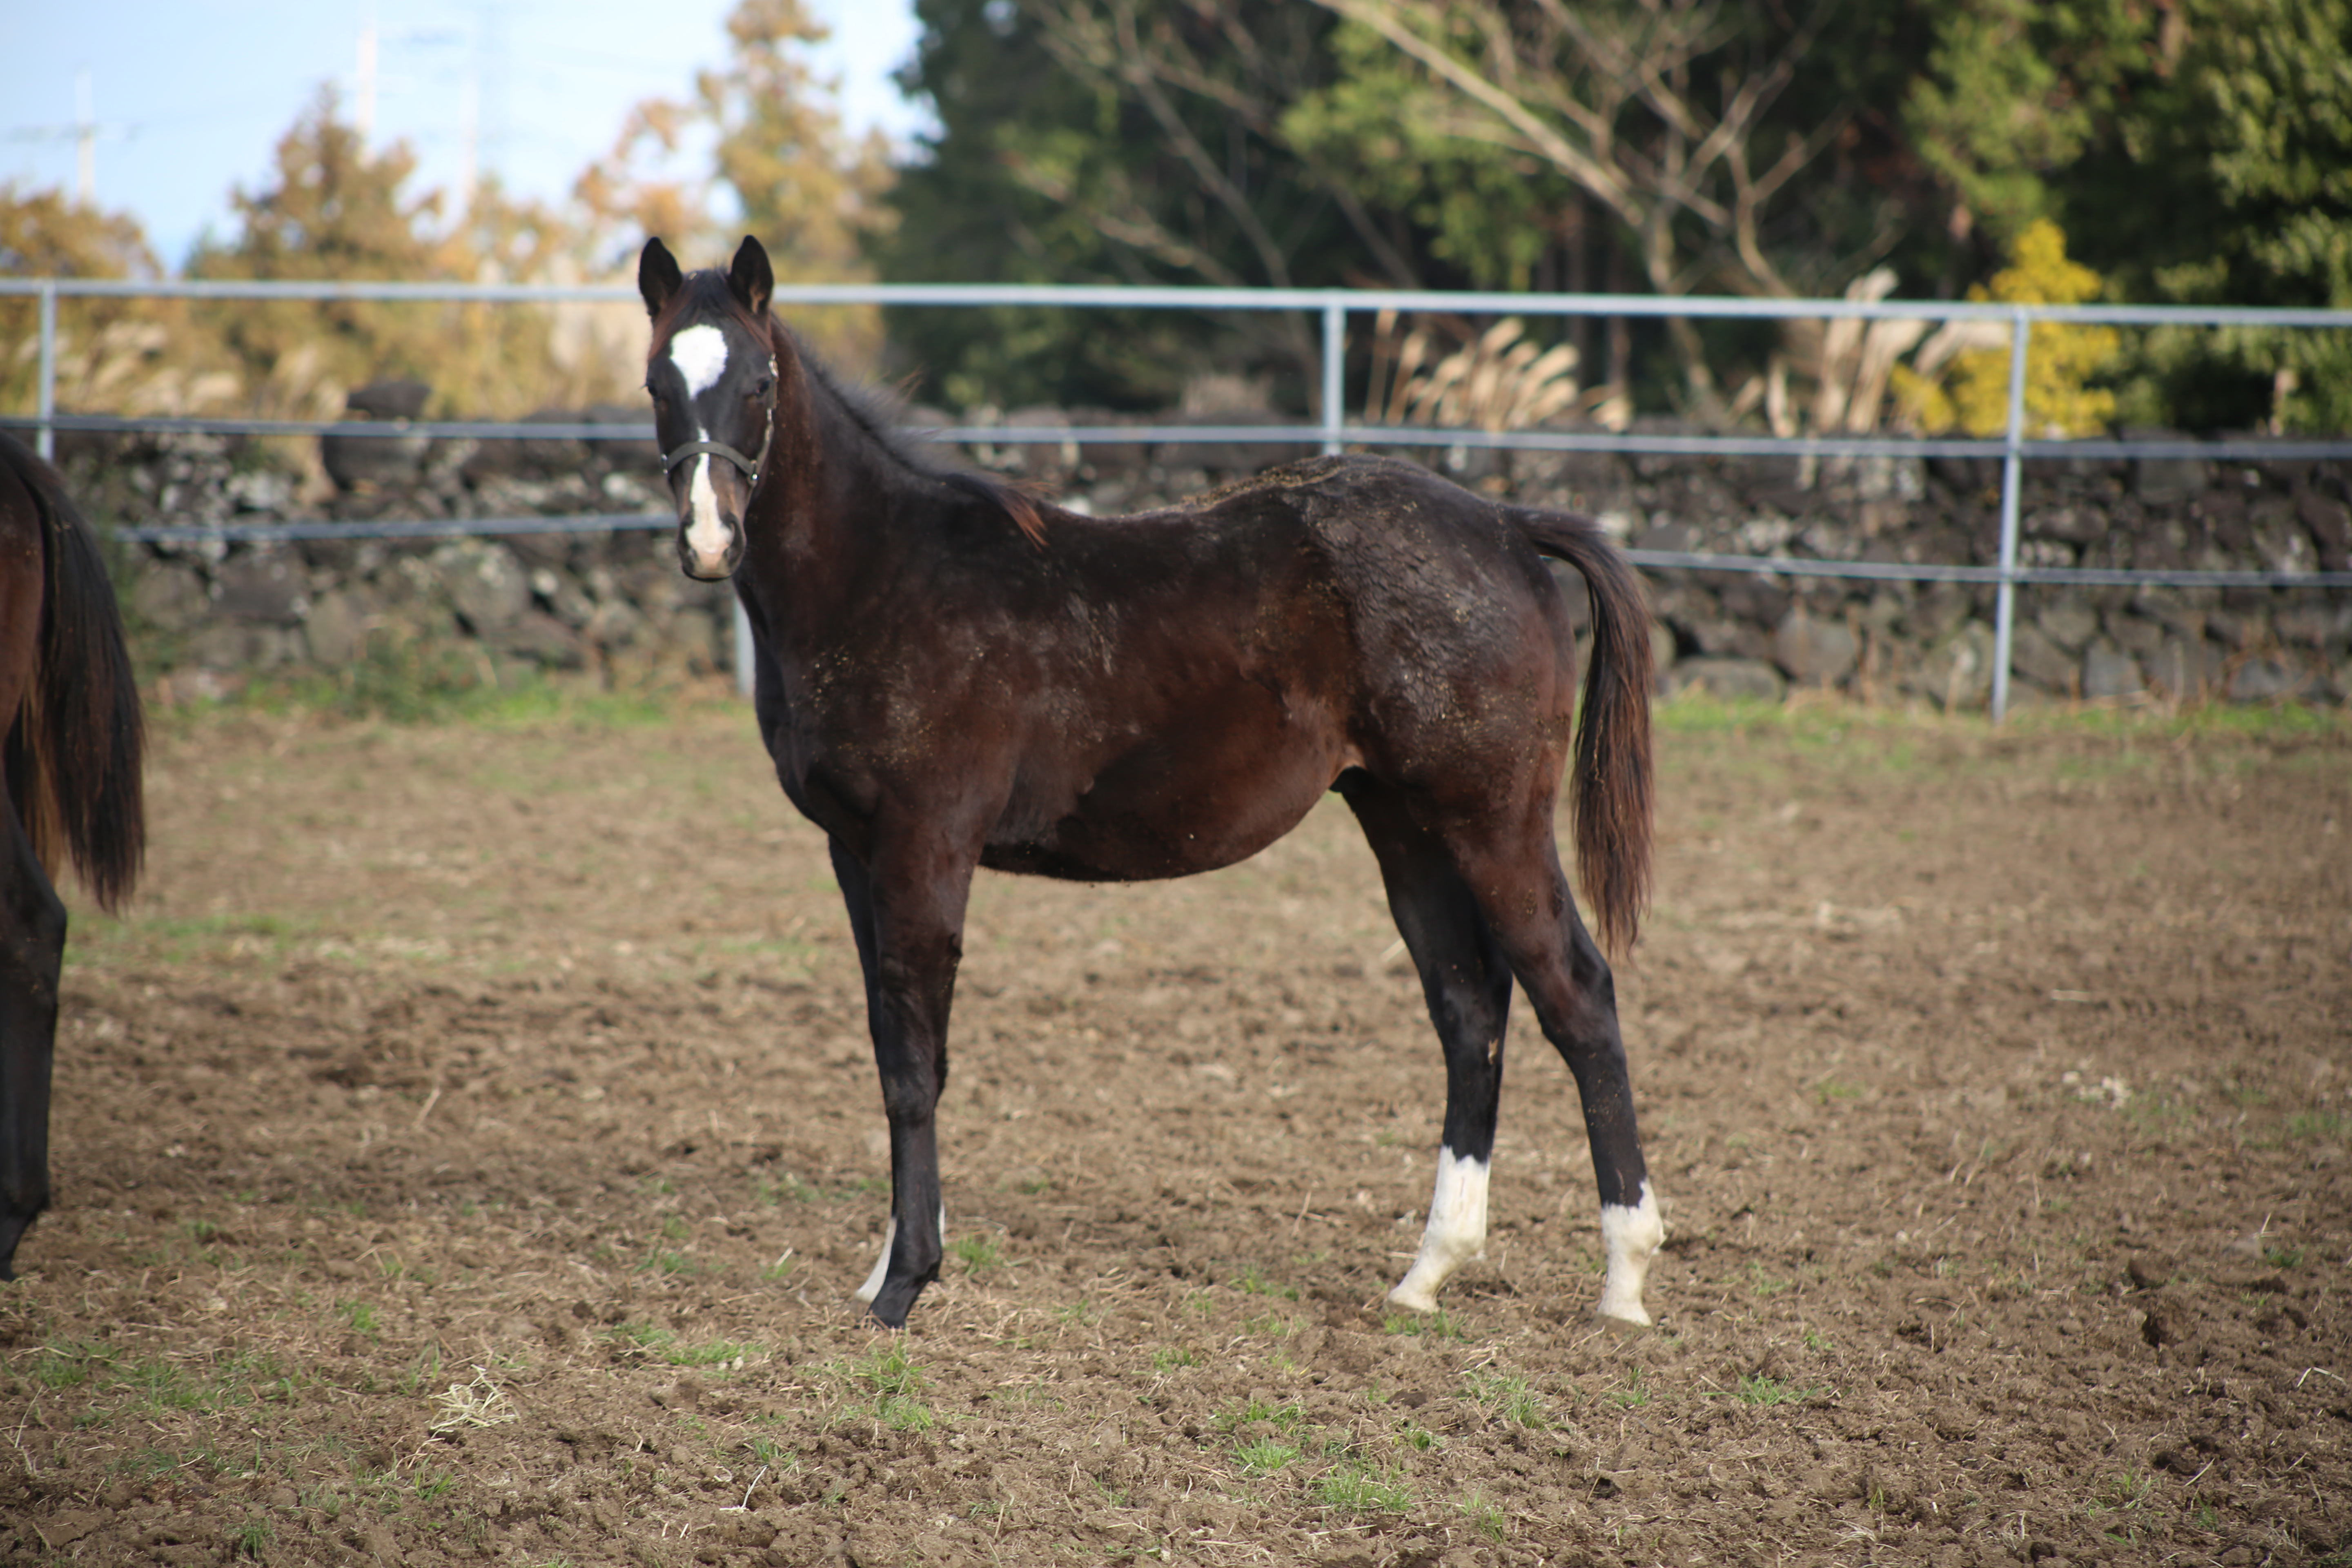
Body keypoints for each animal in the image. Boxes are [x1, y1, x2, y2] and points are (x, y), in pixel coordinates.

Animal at [644, 240, 1665, 1335]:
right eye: (659, 382)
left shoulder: (926, 846)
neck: (884, 578)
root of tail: (1507, 522)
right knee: (1469, 1009)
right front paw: (885, 1265)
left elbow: (918, 1065)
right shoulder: (855, 852)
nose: (709, 541)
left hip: (1493, 822)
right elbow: (892, 1050)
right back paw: (1428, 1271)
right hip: (1405, 824)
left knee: (1576, 996)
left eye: (758, 384)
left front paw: (907, 1284)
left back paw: (1622, 1280)